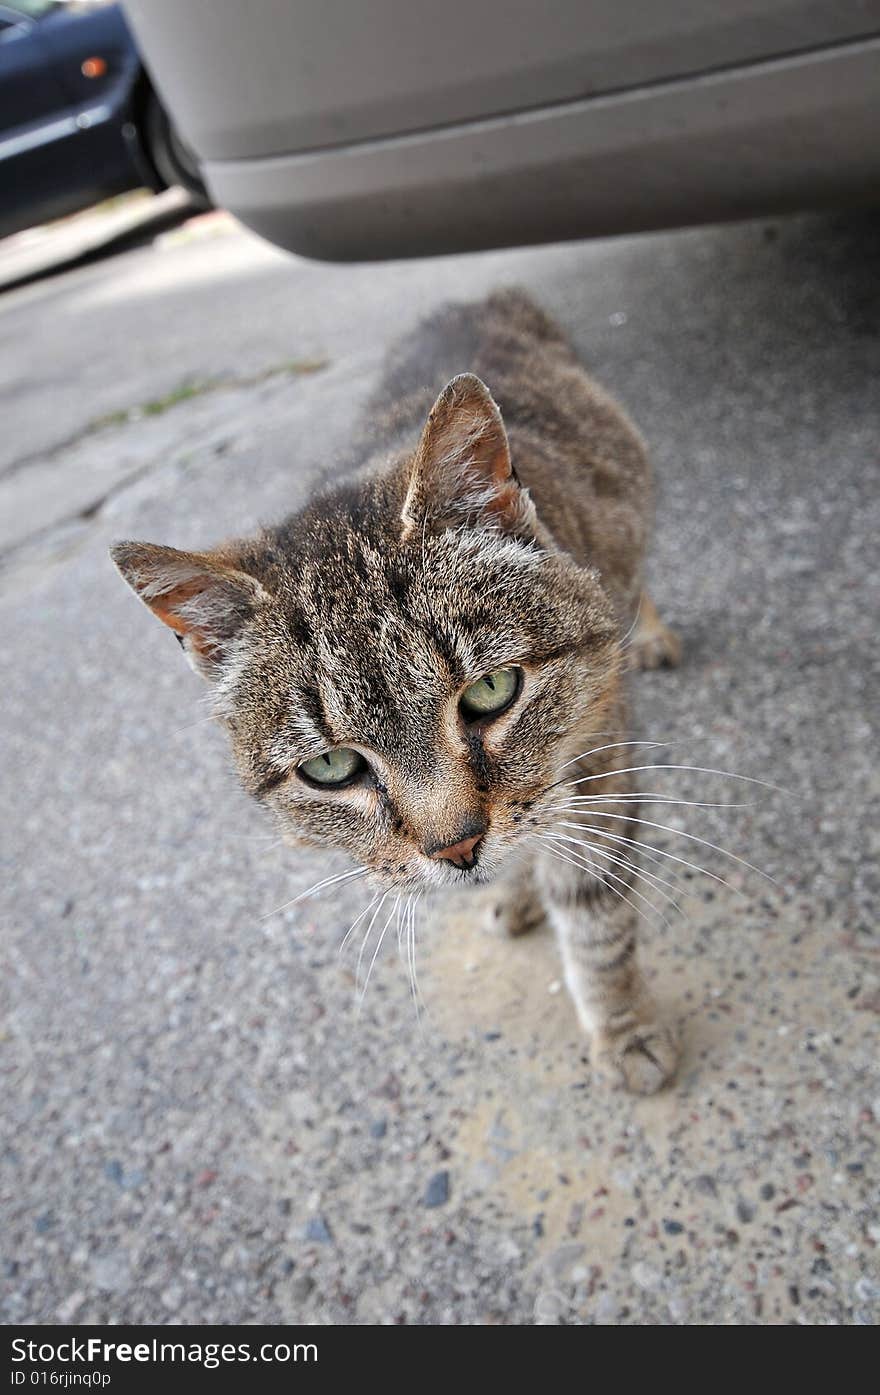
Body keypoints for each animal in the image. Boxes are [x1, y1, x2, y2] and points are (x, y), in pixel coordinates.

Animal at [115, 294, 680, 1093]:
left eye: (492, 690)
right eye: (331, 768)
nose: (459, 847)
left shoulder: (600, 755)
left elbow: (594, 909)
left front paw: (623, 1028)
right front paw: (516, 892)